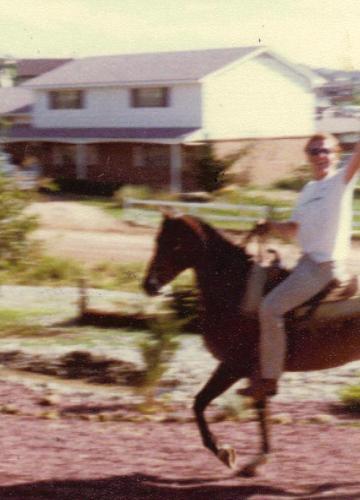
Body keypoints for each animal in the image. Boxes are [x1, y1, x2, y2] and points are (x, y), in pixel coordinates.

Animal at [142, 212, 358, 476]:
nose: (149, 285)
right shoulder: (252, 372)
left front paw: (225, 452)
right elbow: (255, 409)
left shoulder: (234, 366)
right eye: (157, 240)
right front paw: (254, 459)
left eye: (175, 244)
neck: (237, 289)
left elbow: (201, 403)